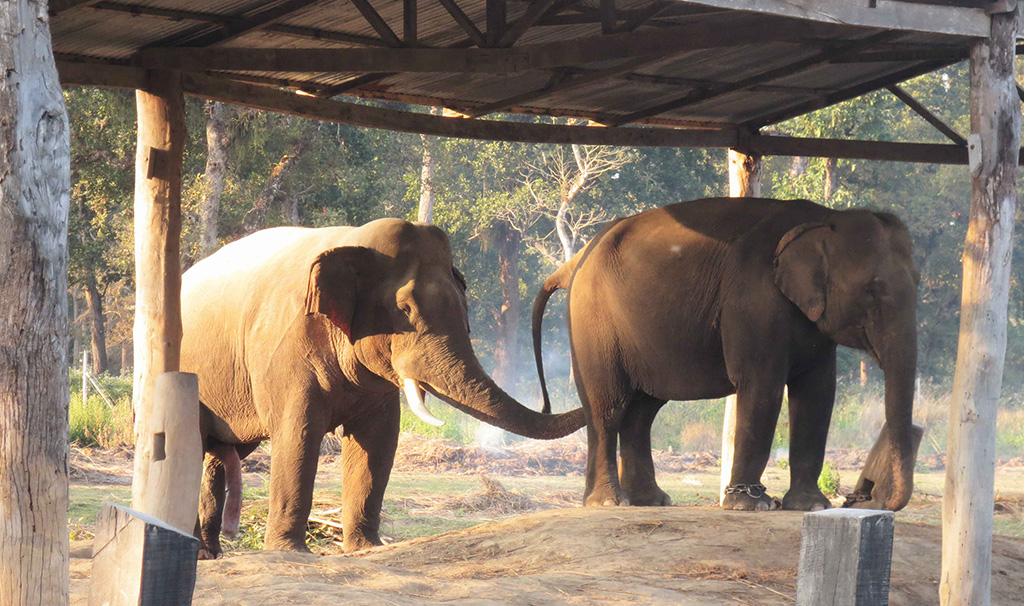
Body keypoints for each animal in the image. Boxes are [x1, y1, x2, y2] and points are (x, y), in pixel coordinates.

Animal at [181, 219, 585, 557]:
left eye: (463, 306)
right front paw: (289, 552)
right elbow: (298, 433)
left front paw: (364, 548)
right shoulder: (284, 351)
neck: (352, 240)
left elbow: (379, 439)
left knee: (220, 453)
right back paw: (200, 552)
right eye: (405, 310)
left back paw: (209, 553)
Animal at [532, 197, 919, 513]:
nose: (865, 496)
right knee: (608, 407)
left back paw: (650, 500)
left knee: (642, 411)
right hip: (593, 322)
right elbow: (762, 387)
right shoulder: (752, 301)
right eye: (871, 291)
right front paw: (751, 504)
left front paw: (810, 506)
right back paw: (609, 502)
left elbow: (818, 394)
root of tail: (576, 260)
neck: (825, 218)